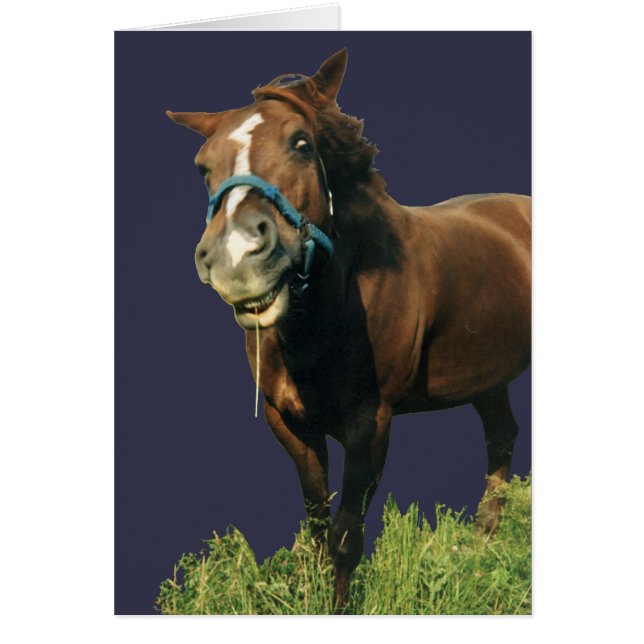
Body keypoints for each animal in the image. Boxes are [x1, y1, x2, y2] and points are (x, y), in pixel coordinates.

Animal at [166, 48, 531, 610]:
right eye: (203, 166)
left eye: (301, 143)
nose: (236, 256)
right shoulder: (290, 424)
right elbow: (317, 527)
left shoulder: (370, 426)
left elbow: (344, 538)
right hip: (488, 376)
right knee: (502, 436)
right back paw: (480, 543)